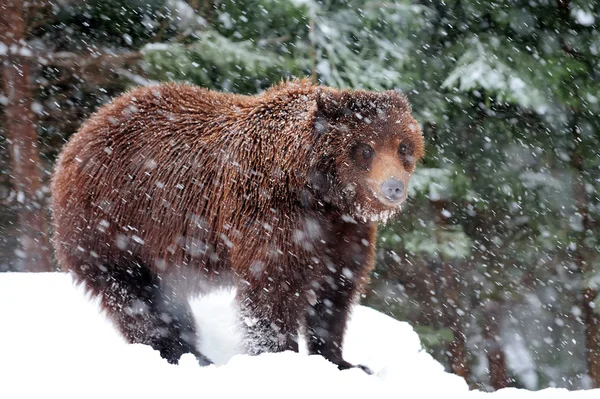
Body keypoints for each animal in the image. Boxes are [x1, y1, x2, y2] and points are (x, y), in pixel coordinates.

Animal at [52, 79, 426, 376]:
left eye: (402, 146)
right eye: (364, 148)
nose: (394, 187)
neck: (320, 195)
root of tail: (84, 131)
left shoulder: (345, 233)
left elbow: (335, 293)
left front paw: (344, 362)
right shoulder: (271, 218)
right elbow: (272, 292)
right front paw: (281, 357)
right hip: (115, 227)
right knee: (136, 298)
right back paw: (182, 354)